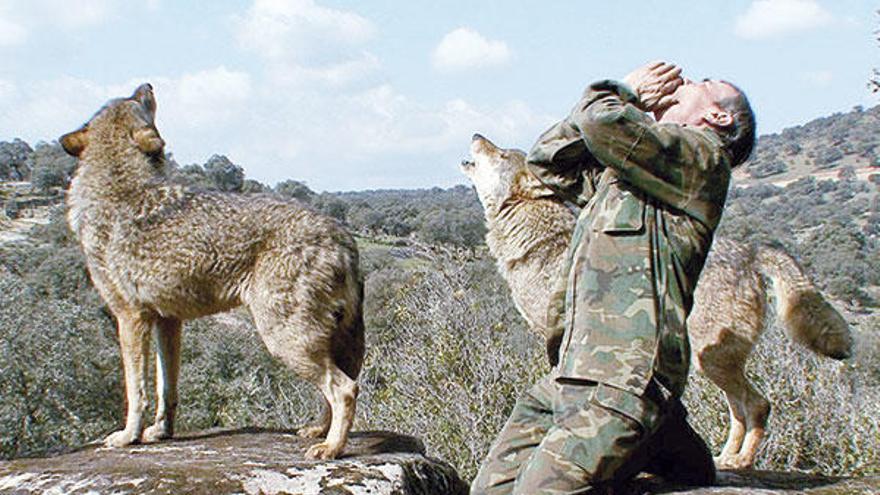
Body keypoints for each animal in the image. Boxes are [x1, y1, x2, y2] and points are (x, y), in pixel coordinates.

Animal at [60, 85, 364, 462]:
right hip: (315, 342)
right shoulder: (168, 321)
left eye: (135, 100)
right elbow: (166, 389)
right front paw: (160, 433)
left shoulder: (130, 318)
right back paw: (318, 432)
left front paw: (128, 436)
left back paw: (332, 447)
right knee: (336, 388)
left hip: (286, 342)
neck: (115, 190)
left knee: (345, 389)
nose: (147, 85)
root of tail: (342, 235)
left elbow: (136, 390)